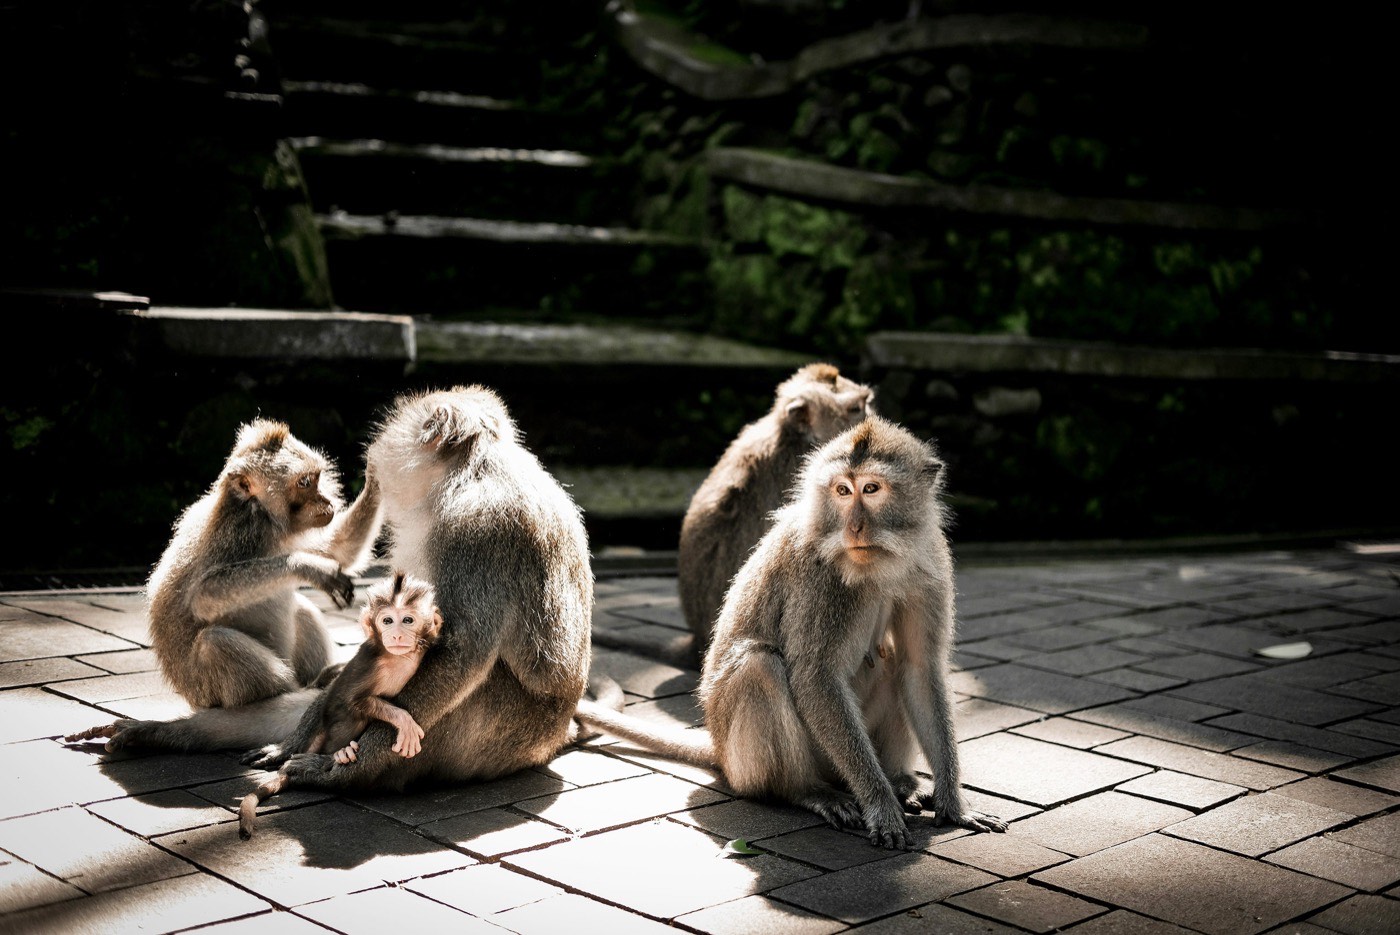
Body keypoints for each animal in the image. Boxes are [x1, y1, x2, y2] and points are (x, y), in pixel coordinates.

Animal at [68, 386, 596, 798]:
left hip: (489, 737)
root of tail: (547, 738)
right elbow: (215, 592)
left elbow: (460, 653)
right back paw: (170, 733)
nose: (329, 496)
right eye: (308, 483)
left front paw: (340, 774)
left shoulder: (476, 531)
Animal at [238, 571, 442, 838]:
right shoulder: (371, 665)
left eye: (407, 620)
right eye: (387, 620)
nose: (396, 635)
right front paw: (404, 721)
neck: (398, 657)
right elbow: (350, 698)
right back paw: (338, 754)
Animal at [577, 416, 1006, 848]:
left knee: (892, 660)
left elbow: (920, 668)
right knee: (760, 664)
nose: (854, 527)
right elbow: (815, 675)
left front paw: (954, 804)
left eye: (871, 489)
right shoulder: (819, 578)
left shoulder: (930, 565)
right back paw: (804, 791)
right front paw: (881, 805)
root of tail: (719, 748)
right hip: (756, 761)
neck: (880, 563)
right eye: (842, 490)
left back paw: (900, 781)